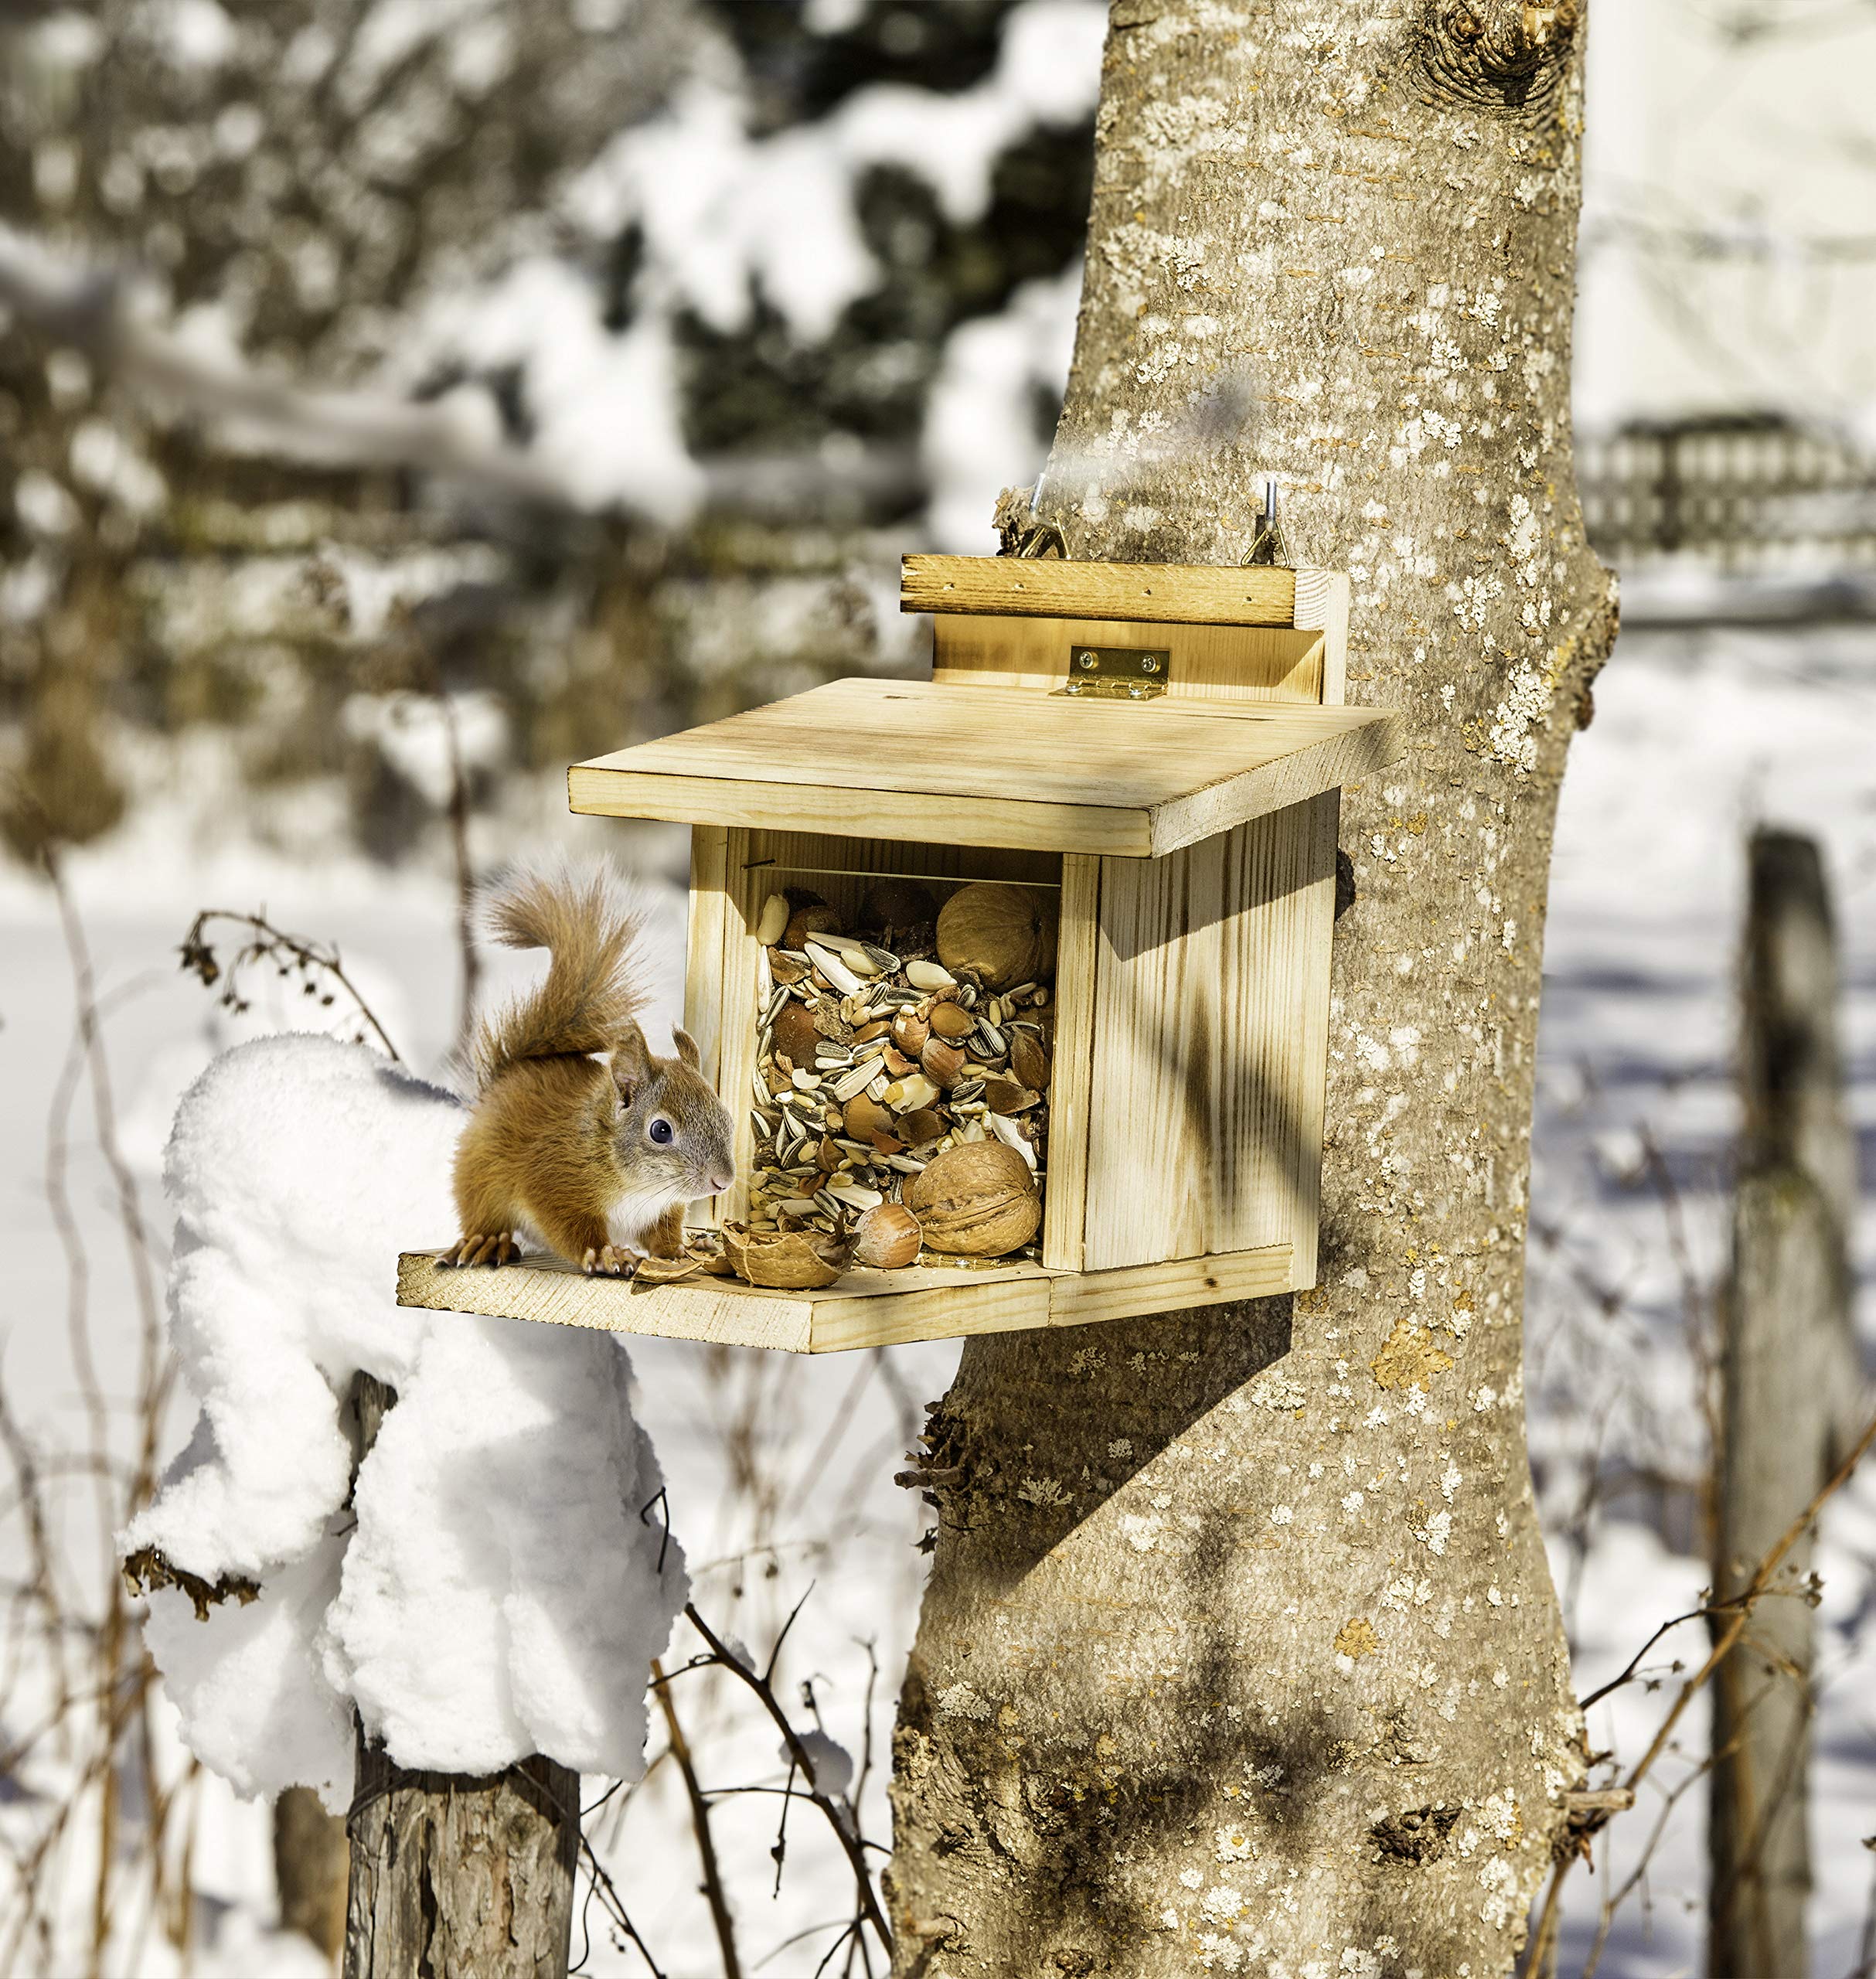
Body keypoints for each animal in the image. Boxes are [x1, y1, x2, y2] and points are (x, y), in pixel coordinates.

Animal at [440, 868, 736, 1277]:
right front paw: (607, 1254)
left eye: (727, 1117)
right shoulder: (553, 1182)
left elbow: (662, 1234)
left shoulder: (660, 1210)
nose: (723, 1182)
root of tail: (503, 1080)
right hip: (480, 1174)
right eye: (661, 1131)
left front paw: (680, 1250)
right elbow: (573, 1229)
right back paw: (486, 1241)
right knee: (482, 1212)